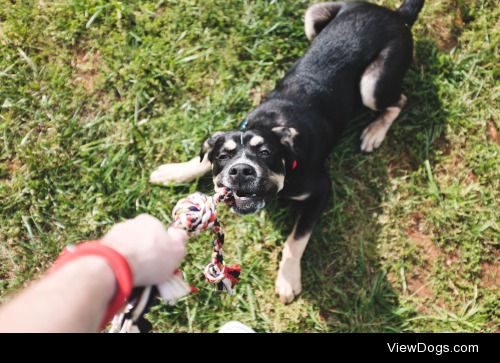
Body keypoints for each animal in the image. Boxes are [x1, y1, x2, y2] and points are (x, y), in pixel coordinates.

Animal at [150, 0, 424, 304]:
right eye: (224, 156)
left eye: (266, 152)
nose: (241, 170)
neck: (270, 125)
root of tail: (395, 14)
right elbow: (202, 159)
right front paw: (173, 172)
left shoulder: (321, 190)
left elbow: (296, 241)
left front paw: (287, 279)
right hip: (313, 17)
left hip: (372, 85)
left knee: (400, 99)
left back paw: (374, 132)